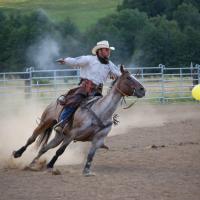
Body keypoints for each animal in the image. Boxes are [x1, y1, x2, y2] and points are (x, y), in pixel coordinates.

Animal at [12, 65, 145, 175]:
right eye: (128, 77)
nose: (143, 90)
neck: (101, 112)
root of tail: (54, 103)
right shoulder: (72, 134)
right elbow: (60, 151)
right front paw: (50, 165)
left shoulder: (98, 139)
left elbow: (90, 155)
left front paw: (87, 171)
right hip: (45, 122)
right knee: (32, 138)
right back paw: (17, 153)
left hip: (59, 136)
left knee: (44, 148)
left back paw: (32, 165)